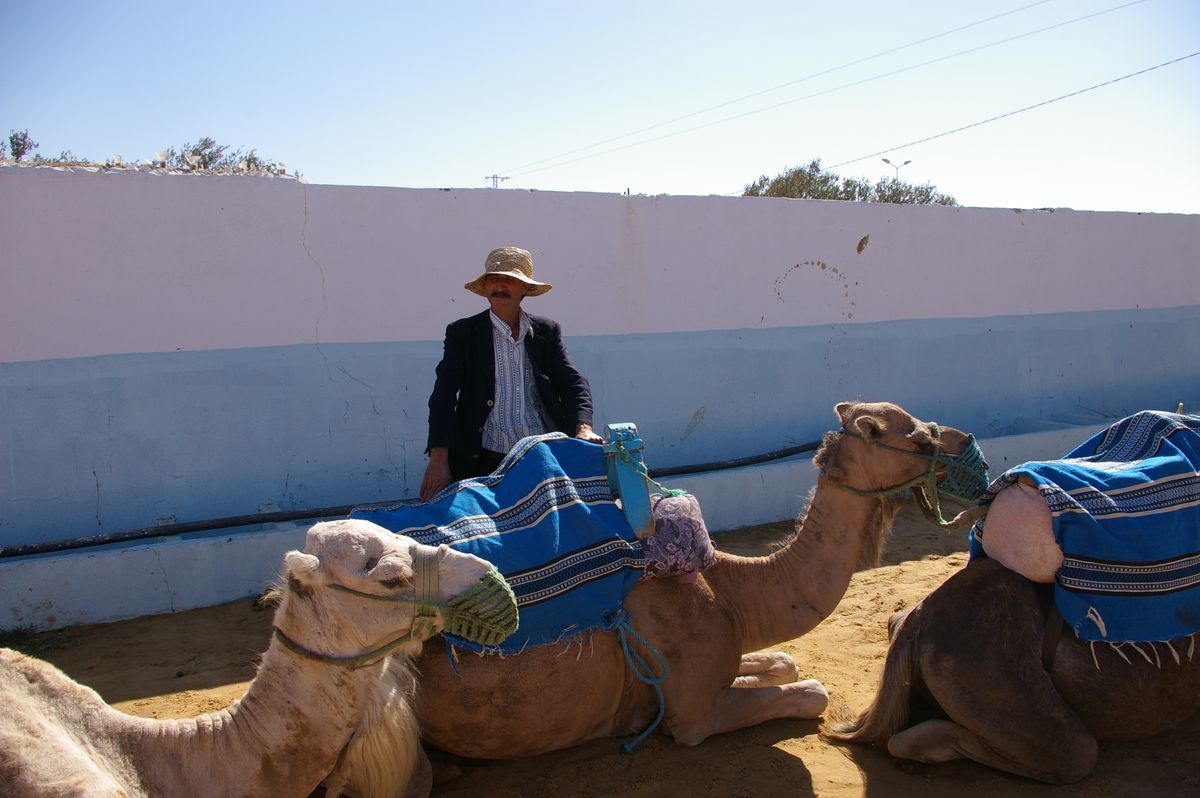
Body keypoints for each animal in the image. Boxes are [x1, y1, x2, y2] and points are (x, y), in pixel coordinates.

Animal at [412, 400, 974, 758]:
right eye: (918, 437)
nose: (962, 441)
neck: (732, 592)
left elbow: (785, 660)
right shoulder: (692, 713)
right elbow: (812, 690)